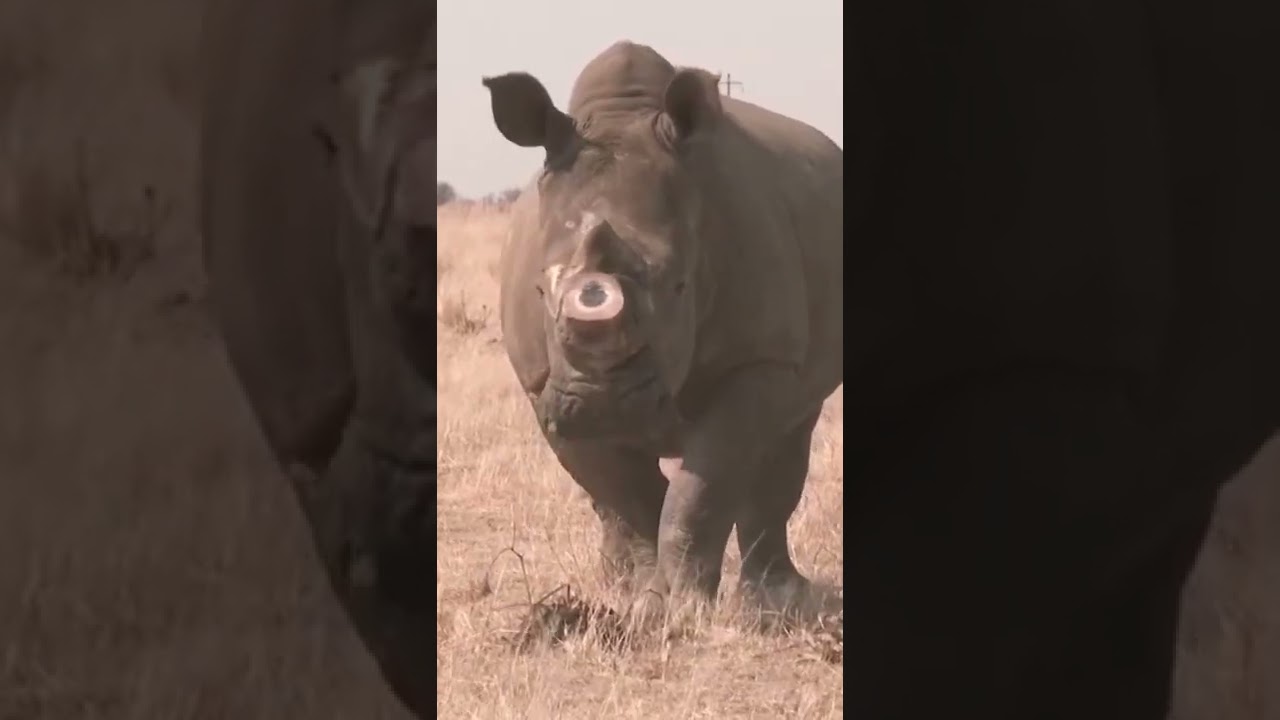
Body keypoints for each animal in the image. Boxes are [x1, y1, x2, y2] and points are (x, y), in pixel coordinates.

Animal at [481, 42, 844, 611]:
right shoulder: (541, 384)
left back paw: (776, 596)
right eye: (540, 291)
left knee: (789, 435)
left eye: (679, 286)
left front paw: (686, 602)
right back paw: (616, 580)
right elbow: (626, 494)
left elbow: (704, 485)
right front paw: (644, 600)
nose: (600, 403)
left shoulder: (760, 357)